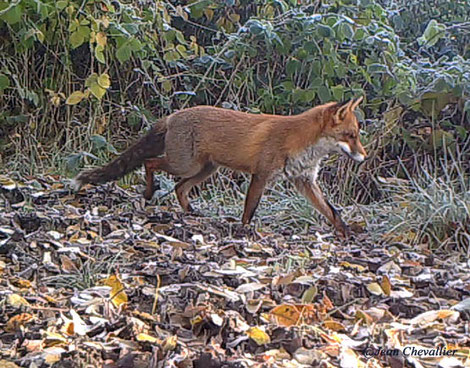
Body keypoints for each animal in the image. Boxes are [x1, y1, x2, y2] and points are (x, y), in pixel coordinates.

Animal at [73, 97, 368, 236]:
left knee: (179, 188)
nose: (364, 157)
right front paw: (244, 231)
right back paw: (148, 193)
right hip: (184, 164)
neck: (300, 142)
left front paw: (346, 233)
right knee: (149, 163)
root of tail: (173, 116)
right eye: (351, 136)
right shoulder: (261, 175)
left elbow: (331, 211)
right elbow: (249, 209)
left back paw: (191, 213)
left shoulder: (305, 181)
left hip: (204, 170)